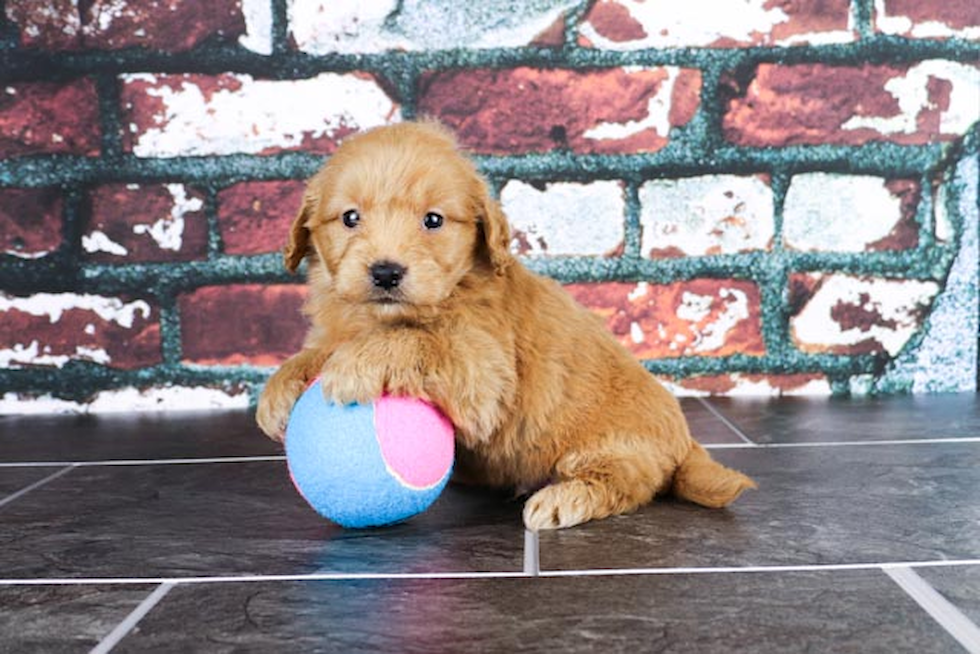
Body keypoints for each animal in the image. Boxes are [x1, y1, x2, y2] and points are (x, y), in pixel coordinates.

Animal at [256, 121, 756, 532]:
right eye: (350, 217)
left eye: (433, 220)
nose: (385, 272)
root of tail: (684, 441)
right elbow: (325, 348)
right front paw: (281, 387)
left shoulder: (483, 371)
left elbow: (418, 341)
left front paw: (356, 364)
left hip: (616, 448)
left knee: (623, 484)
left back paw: (561, 500)